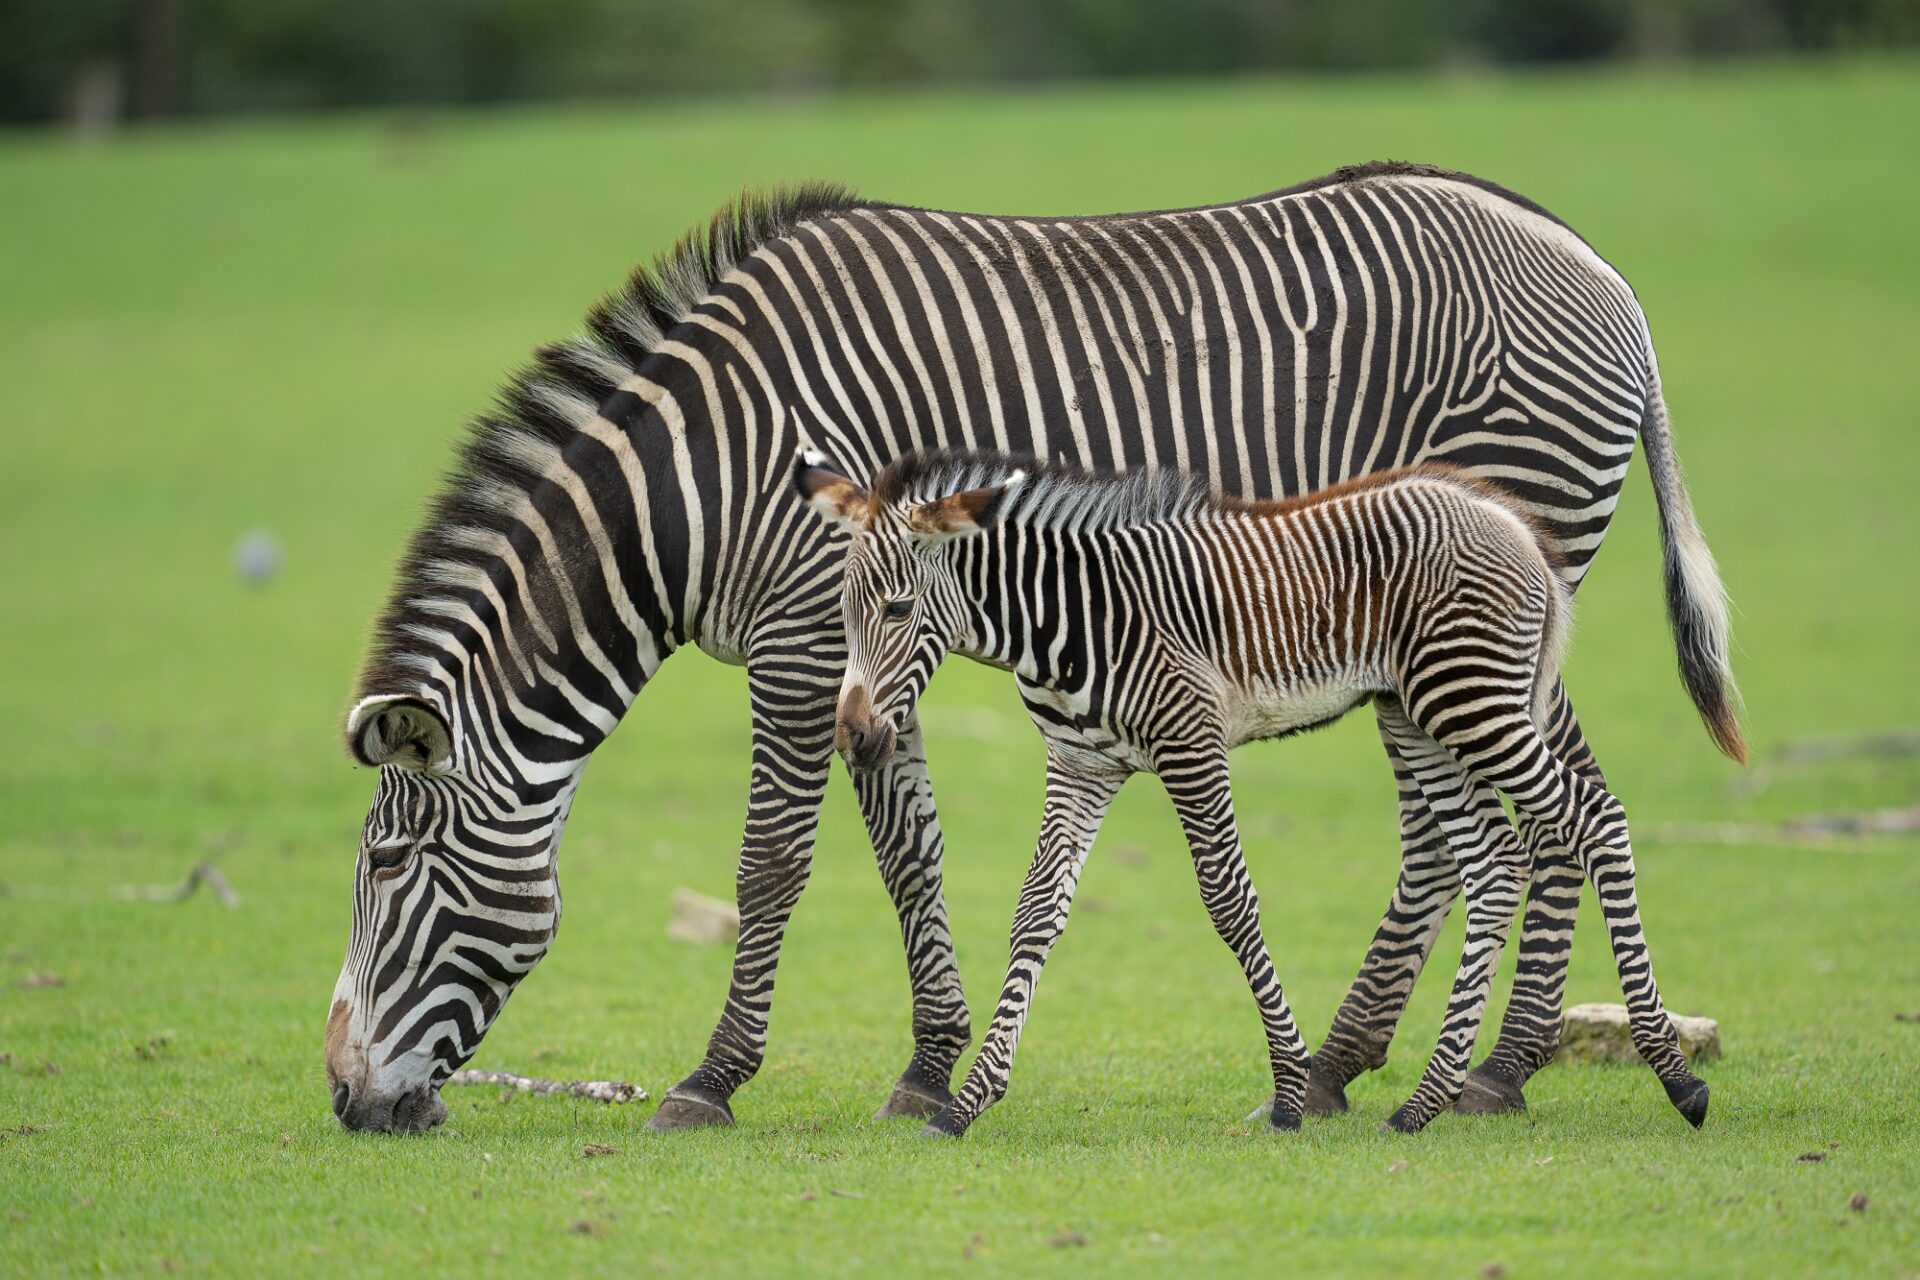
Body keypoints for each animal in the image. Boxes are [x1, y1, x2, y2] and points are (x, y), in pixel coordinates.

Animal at [794, 445, 1712, 1136]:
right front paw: (969, 1101)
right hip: (1420, 713)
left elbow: (1230, 903)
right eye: (840, 613)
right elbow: (1036, 913)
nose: (855, 738)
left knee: (1596, 819)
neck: (1069, 621)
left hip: (1472, 701)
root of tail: (1508, 518)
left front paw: (1289, 1093)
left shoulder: (1191, 746)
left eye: (899, 608)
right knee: (1494, 865)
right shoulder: (1080, 767)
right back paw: (1424, 1102)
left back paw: (1677, 1078)